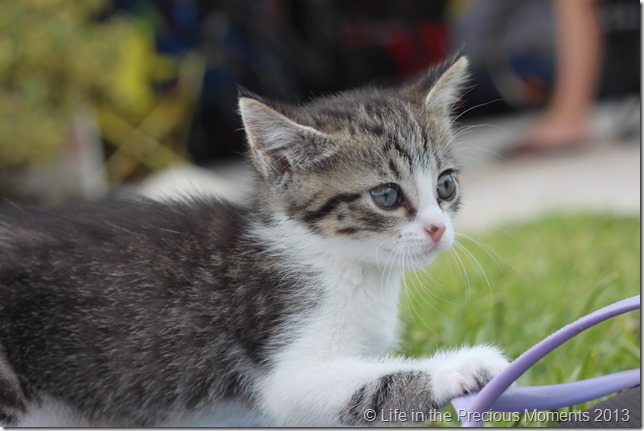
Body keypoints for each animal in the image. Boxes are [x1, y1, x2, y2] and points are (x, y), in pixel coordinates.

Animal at [0, 56, 508, 427]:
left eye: (445, 186)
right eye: (386, 195)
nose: (437, 228)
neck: (340, 262)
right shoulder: (285, 355)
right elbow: (367, 385)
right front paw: (467, 365)